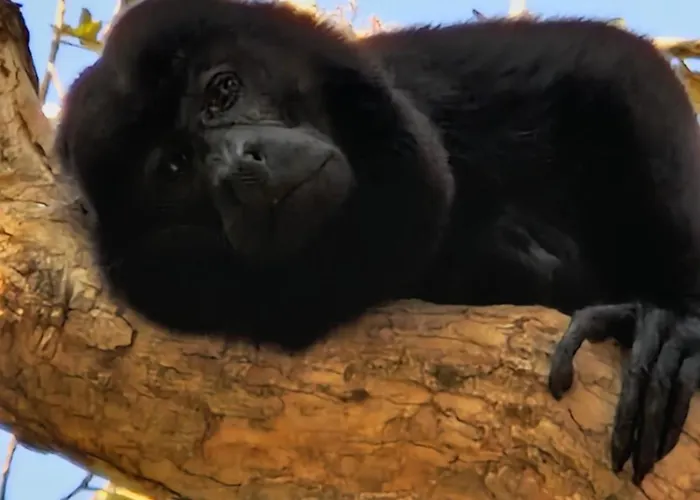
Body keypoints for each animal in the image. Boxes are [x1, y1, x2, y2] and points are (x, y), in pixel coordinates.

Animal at [55, 0, 700, 484]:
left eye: (224, 90)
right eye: (173, 167)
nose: (240, 165)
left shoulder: (439, 76)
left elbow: (607, 65)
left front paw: (676, 326)